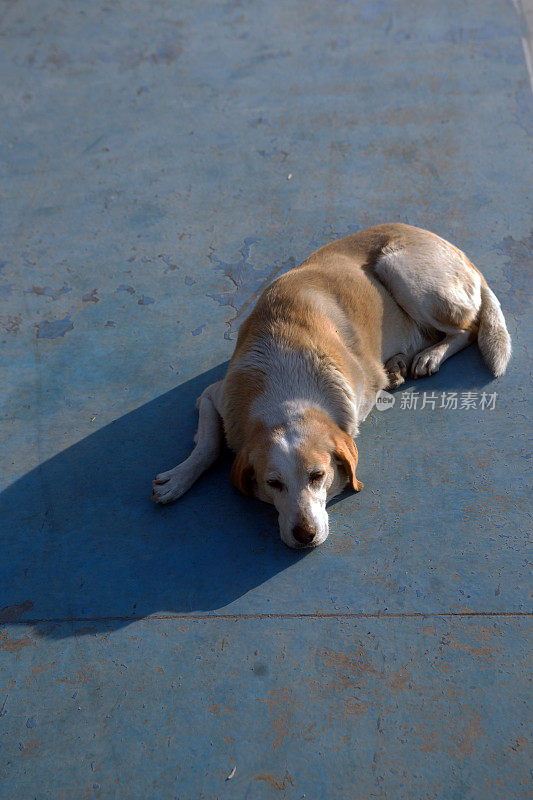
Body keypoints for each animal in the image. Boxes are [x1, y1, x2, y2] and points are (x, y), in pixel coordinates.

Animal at [152, 225, 510, 552]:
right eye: (273, 483)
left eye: (318, 476)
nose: (304, 535)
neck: (286, 395)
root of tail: (455, 249)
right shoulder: (214, 395)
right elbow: (208, 444)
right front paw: (179, 477)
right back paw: (400, 363)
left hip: (400, 269)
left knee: (469, 328)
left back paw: (430, 355)